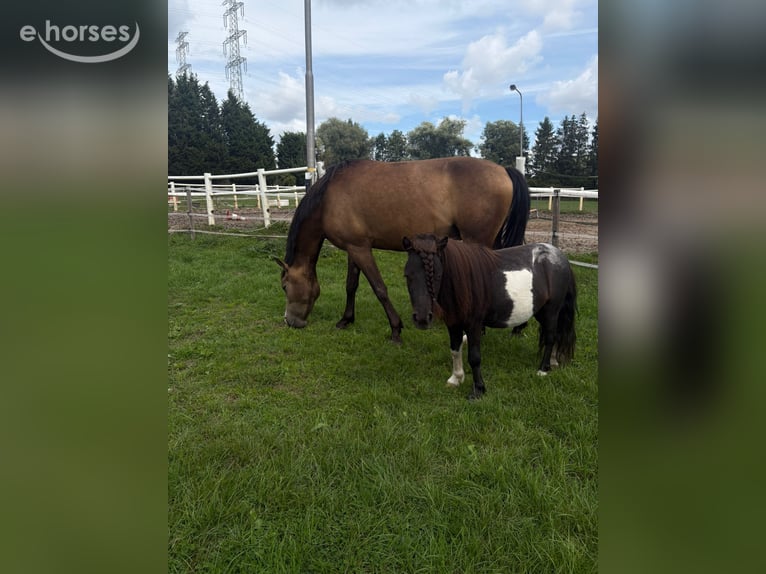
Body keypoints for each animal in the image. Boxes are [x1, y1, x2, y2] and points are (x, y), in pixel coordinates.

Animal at [274, 157, 530, 343]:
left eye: (285, 286)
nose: (291, 322)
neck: (329, 197)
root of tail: (503, 169)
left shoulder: (360, 250)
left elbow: (379, 288)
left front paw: (396, 329)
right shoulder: (354, 248)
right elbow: (351, 285)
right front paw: (346, 320)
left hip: (478, 239)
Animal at [402, 234, 577, 399]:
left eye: (438, 275)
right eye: (407, 276)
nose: (422, 319)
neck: (464, 282)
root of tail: (560, 256)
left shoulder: (474, 325)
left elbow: (474, 357)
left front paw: (478, 389)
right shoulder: (453, 324)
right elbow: (455, 350)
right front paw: (456, 379)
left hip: (551, 311)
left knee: (550, 337)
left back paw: (543, 369)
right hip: (542, 312)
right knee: (555, 335)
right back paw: (553, 362)